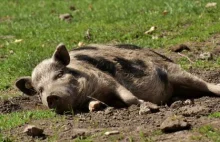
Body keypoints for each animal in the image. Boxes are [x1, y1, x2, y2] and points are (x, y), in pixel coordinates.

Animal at [15, 43, 220, 113]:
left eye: (59, 74)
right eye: (40, 90)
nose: (50, 96)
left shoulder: (107, 79)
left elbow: (128, 96)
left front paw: (146, 105)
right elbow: (92, 104)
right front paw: (97, 107)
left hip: (176, 71)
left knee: (205, 84)